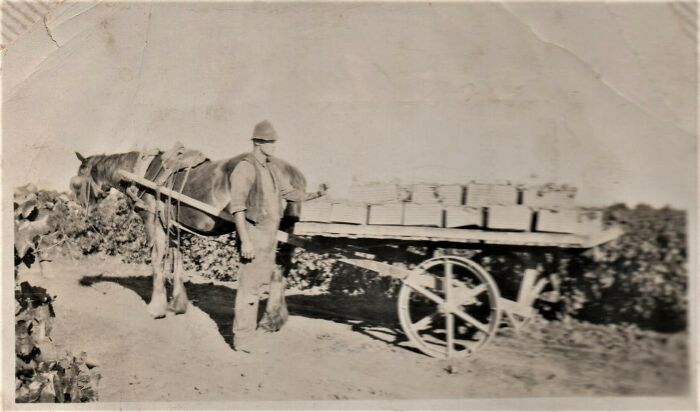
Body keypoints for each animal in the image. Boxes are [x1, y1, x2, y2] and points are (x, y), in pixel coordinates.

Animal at [69, 150, 308, 334]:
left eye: (77, 182)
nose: (81, 208)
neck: (141, 173)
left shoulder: (153, 223)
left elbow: (157, 261)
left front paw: (157, 308)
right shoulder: (173, 227)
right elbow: (177, 260)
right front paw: (178, 303)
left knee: (276, 269)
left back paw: (269, 318)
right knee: (283, 269)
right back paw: (275, 318)